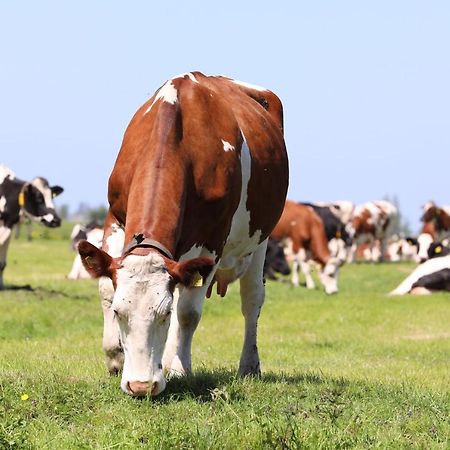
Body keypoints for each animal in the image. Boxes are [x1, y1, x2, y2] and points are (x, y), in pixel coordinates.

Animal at [77, 71, 288, 398]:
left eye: (162, 315)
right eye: (119, 313)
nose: (140, 386)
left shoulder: (212, 240)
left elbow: (187, 312)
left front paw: (178, 368)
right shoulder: (115, 216)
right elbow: (104, 287)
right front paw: (114, 357)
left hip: (262, 239)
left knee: (252, 299)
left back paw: (248, 365)